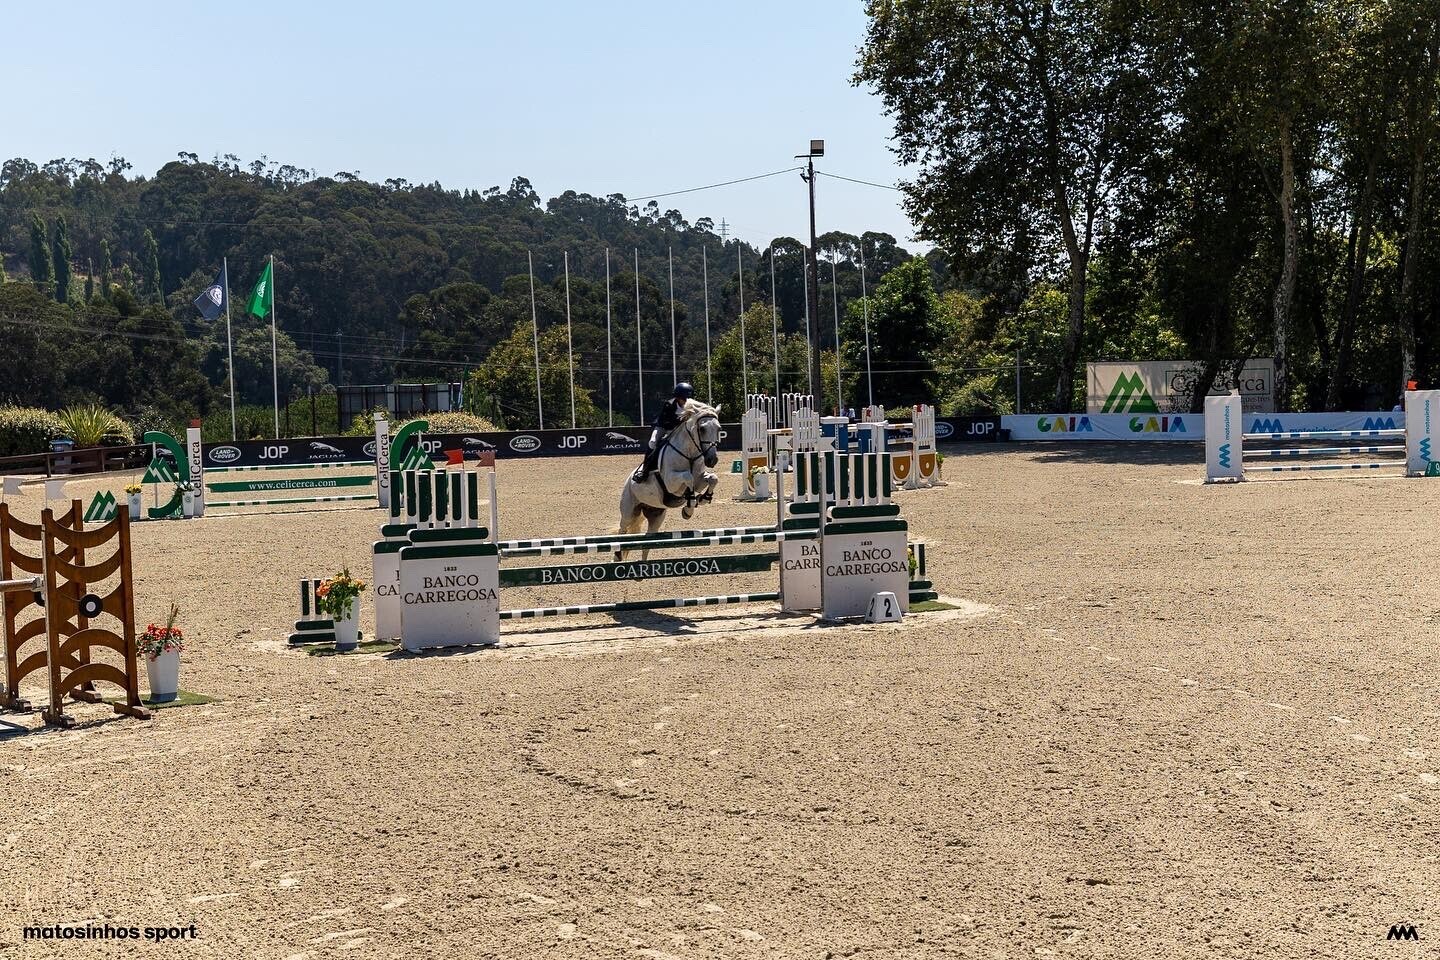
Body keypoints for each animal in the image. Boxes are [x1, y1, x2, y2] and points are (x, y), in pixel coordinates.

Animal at [617, 400, 722, 560]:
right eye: (702, 429)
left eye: (718, 428)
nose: (712, 460)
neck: (689, 454)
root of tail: (628, 481)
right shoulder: (671, 483)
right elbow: (688, 477)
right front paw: (688, 508)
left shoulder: (699, 480)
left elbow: (712, 478)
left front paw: (704, 498)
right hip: (629, 511)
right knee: (622, 530)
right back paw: (617, 555)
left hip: (656, 516)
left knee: (647, 544)